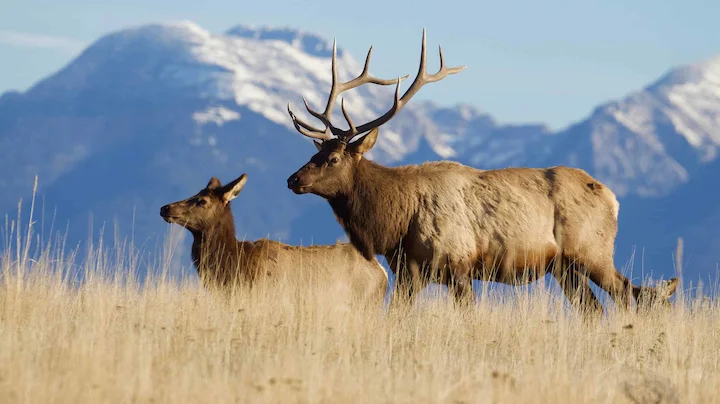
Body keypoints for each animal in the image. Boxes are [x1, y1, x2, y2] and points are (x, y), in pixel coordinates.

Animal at [284, 29, 679, 314]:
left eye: (334, 159)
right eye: (316, 153)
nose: (293, 179)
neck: (396, 222)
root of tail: (612, 198)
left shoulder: (458, 266)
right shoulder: (409, 272)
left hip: (591, 250)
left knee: (627, 293)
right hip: (564, 267)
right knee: (595, 309)